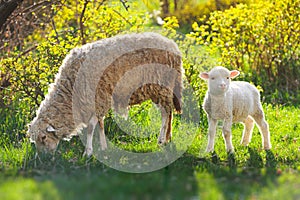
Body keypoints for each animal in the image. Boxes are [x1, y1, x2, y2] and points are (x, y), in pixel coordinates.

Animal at [28, 32, 183, 158]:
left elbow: (91, 127)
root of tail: (173, 46)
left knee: (166, 113)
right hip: (158, 89)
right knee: (167, 112)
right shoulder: (96, 101)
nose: (42, 158)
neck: (70, 88)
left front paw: (88, 152)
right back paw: (166, 138)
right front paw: (103, 147)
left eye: (43, 137)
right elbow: (100, 124)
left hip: (163, 84)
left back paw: (162, 140)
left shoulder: (99, 98)